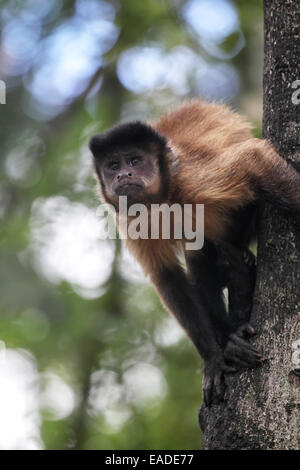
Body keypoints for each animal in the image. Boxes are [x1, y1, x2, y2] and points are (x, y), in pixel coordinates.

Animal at [89, 100, 300, 408]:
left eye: (135, 161)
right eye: (113, 165)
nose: (122, 175)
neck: (163, 200)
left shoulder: (191, 179)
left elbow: (252, 157)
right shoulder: (128, 219)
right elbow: (168, 279)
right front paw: (214, 358)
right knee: (199, 253)